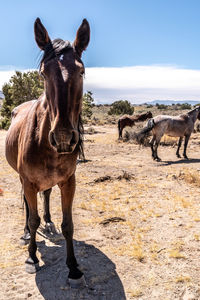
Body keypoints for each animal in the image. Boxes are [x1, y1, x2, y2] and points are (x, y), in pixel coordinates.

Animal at [5, 17, 90, 288]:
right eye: (43, 73)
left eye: (81, 71)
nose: (63, 137)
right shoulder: (29, 181)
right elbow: (33, 220)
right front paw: (32, 258)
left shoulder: (69, 181)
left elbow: (69, 225)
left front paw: (73, 268)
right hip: (22, 179)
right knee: (27, 206)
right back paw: (25, 234)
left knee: (47, 195)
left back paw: (49, 221)